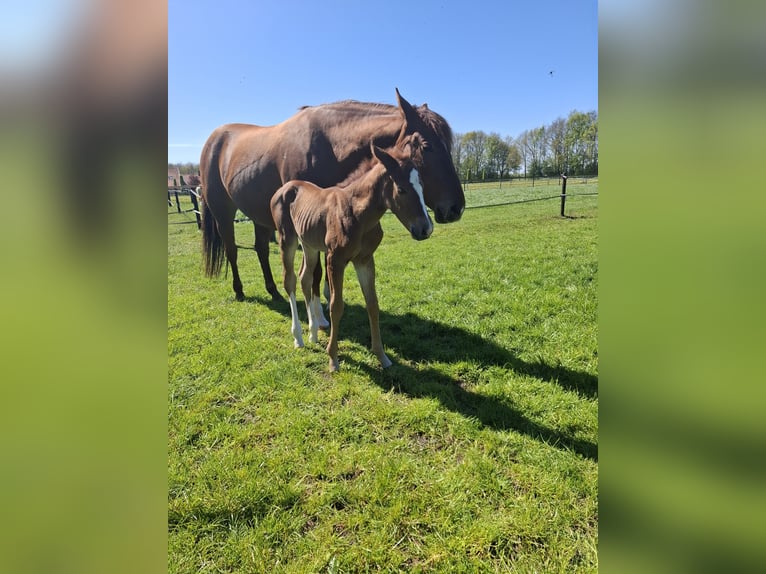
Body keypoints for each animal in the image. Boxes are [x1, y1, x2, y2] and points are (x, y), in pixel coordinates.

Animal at [200, 89, 463, 302]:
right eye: (427, 146)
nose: (456, 208)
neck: (328, 145)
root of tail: (213, 140)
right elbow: (315, 270)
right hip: (223, 213)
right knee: (232, 250)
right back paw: (239, 290)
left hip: (259, 216)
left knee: (261, 250)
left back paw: (273, 290)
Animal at [270, 140, 433, 372]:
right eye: (401, 189)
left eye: (422, 186)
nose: (426, 229)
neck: (358, 214)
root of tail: (283, 189)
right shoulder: (335, 259)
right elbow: (336, 306)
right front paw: (333, 358)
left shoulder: (364, 260)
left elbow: (372, 304)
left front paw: (382, 356)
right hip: (287, 240)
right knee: (290, 281)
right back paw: (299, 338)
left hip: (309, 244)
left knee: (305, 278)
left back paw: (312, 333)